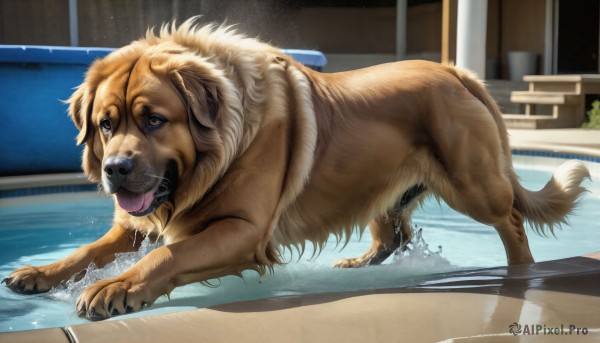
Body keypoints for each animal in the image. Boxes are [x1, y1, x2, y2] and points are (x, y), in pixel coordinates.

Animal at [2, 20, 588, 322]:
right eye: (105, 124)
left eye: (153, 120)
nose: (117, 169)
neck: (223, 140)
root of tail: (457, 70)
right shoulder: (134, 223)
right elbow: (86, 251)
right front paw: (40, 272)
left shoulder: (240, 231)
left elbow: (166, 256)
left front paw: (116, 287)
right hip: (378, 189)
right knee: (393, 235)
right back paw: (357, 265)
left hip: (474, 186)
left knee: (513, 222)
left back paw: (520, 273)